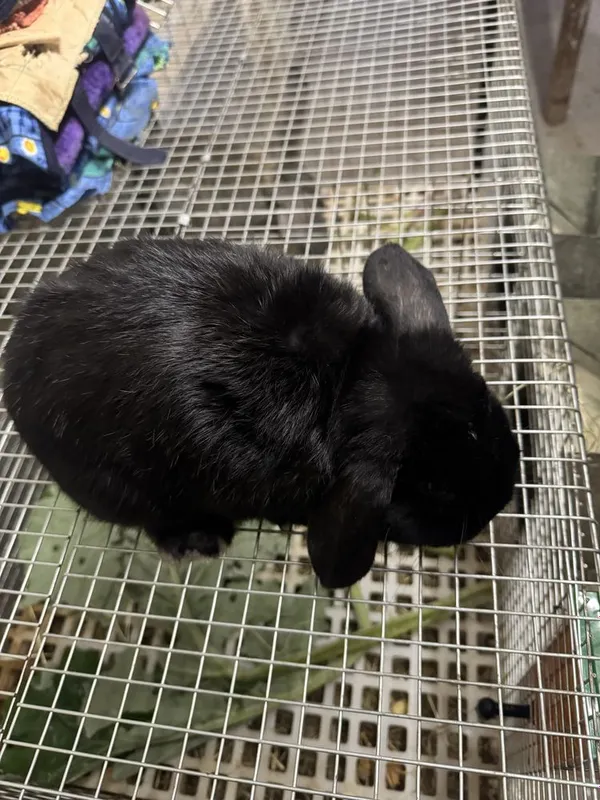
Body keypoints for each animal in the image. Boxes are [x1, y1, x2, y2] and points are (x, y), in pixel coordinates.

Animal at [3, 238, 519, 589]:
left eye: (491, 411)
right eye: (435, 488)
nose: (495, 506)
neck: (348, 379)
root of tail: (14, 375)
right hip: (125, 490)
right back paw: (203, 539)